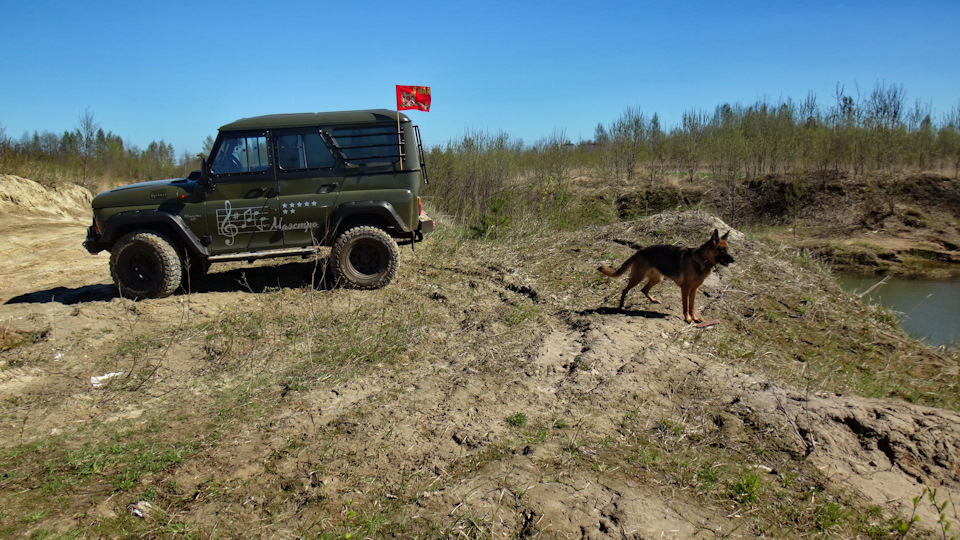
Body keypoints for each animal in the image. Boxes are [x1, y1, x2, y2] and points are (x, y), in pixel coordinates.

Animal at [600, 229, 736, 322]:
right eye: (722, 250)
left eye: (728, 249)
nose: (734, 259)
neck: (702, 259)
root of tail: (639, 251)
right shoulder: (686, 288)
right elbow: (686, 306)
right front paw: (688, 319)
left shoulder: (694, 289)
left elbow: (692, 306)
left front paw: (695, 318)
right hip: (638, 278)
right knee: (625, 290)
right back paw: (621, 306)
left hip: (658, 278)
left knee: (644, 289)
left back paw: (653, 300)